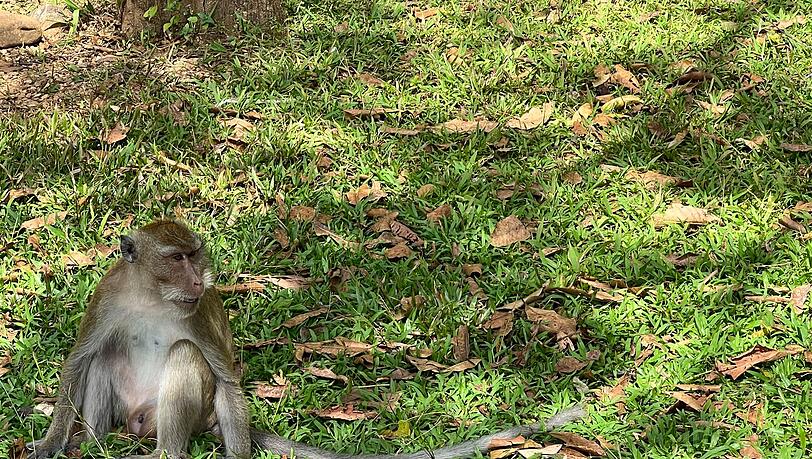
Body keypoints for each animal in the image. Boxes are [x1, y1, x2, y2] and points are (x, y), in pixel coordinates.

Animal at [28, 220, 585, 459]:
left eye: (194, 255)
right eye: (175, 258)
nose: (198, 279)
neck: (152, 297)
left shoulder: (196, 315)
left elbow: (225, 376)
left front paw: (238, 456)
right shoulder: (109, 296)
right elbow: (80, 359)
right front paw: (51, 443)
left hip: (184, 414)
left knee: (187, 361)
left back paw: (166, 453)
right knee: (105, 355)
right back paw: (93, 443)